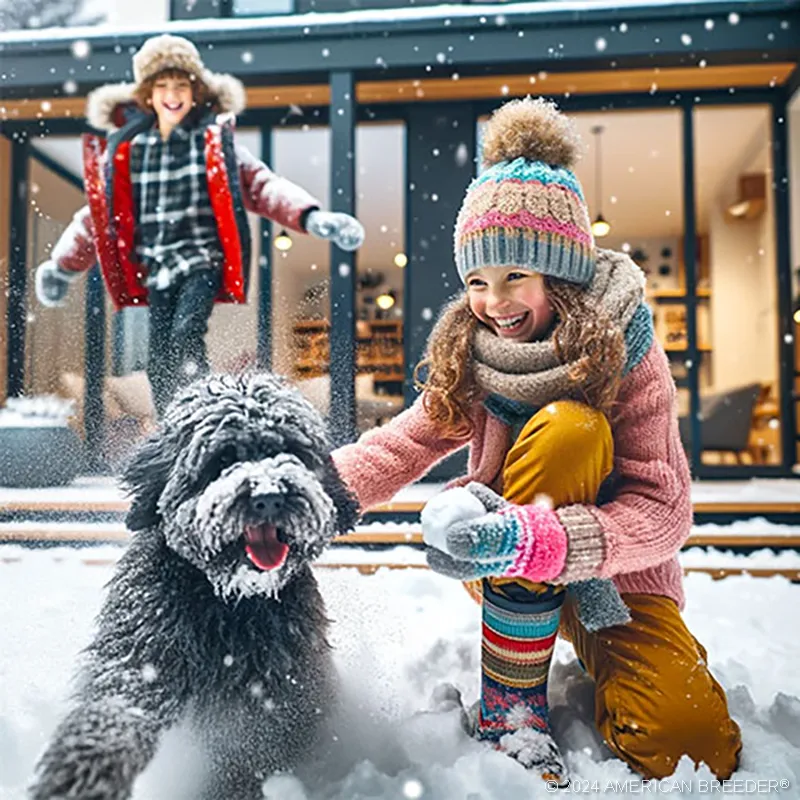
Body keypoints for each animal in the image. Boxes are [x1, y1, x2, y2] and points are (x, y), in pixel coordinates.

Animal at [28, 374, 358, 800]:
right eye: (223, 459)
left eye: (291, 451)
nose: (269, 497)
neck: (228, 600)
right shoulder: (139, 657)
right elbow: (115, 712)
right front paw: (78, 775)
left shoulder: (275, 696)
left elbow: (244, 759)